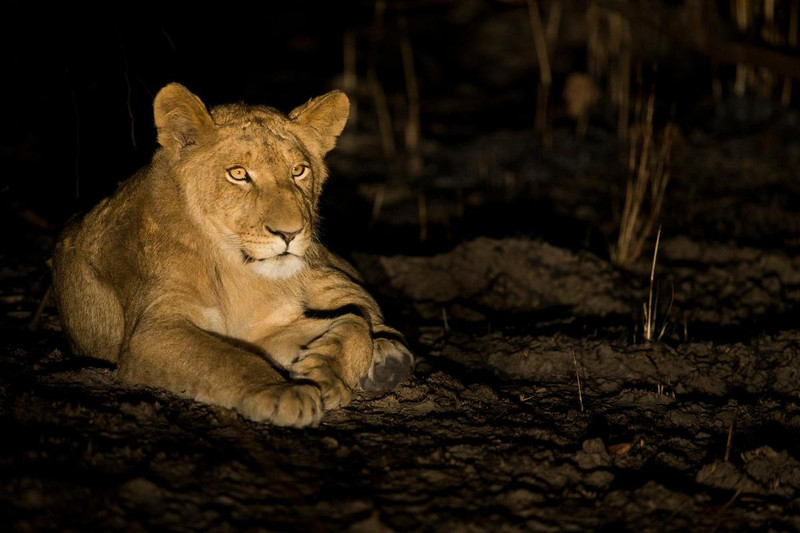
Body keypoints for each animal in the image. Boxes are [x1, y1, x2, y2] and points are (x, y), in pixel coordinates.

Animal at [51, 83, 414, 427]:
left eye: (298, 170)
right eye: (238, 174)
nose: (290, 233)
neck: (238, 272)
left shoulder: (268, 327)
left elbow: (354, 322)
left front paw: (322, 375)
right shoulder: (151, 332)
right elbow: (226, 358)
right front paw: (282, 391)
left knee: (363, 304)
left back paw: (390, 355)